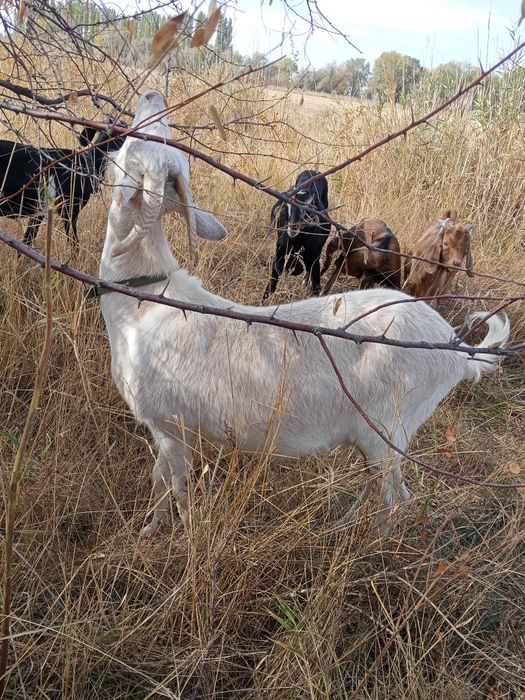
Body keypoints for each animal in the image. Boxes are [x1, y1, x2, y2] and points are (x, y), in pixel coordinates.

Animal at [263, 170, 330, 299]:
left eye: (309, 206)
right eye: (286, 205)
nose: (293, 226)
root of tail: (313, 171)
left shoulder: (314, 261)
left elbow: (315, 290)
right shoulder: (279, 258)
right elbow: (270, 288)